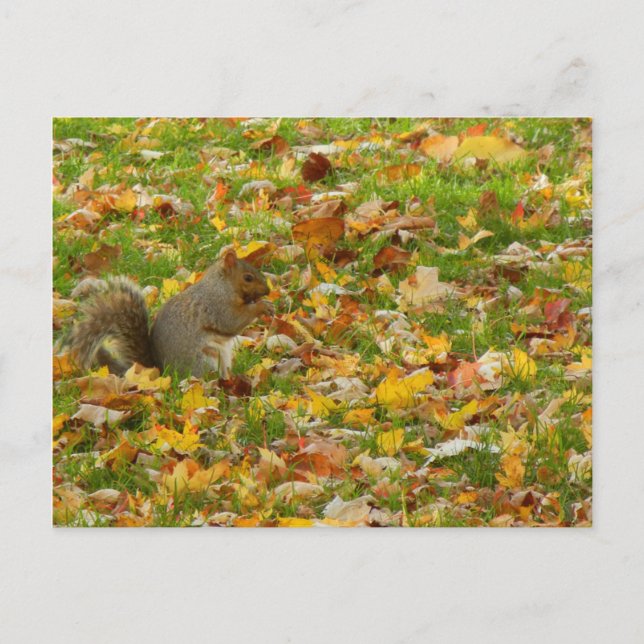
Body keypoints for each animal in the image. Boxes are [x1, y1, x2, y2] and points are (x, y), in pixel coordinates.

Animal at [70, 250, 274, 379]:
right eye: (248, 278)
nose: (267, 291)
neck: (221, 285)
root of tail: (163, 372)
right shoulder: (217, 305)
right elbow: (232, 321)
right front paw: (262, 306)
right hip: (206, 359)